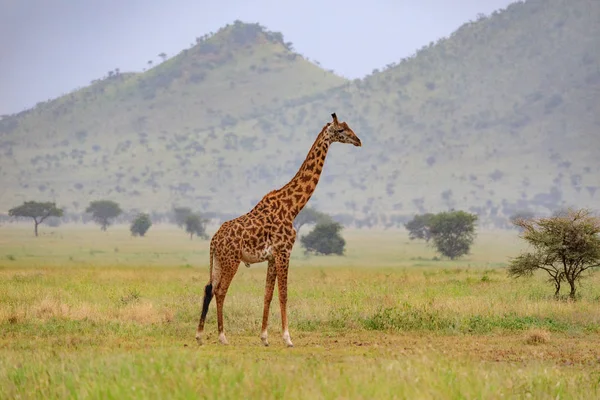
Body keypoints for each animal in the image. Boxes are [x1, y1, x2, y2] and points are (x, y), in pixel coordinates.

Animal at [196, 112, 360, 346]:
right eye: (341, 130)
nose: (358, 140)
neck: (292, 207)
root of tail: (213, 241)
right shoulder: (284, 251)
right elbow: (284, 294)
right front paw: (287, 338)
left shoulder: (272, 257)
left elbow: (268, 295)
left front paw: (264, 337)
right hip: (231, 260)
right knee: (220, 290)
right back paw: (222, 336)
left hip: (218, 260)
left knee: (208, 288)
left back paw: (200, 335)